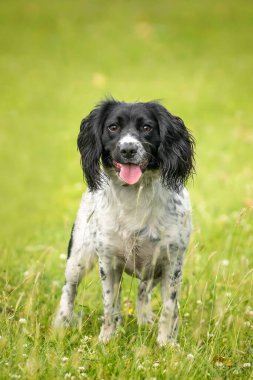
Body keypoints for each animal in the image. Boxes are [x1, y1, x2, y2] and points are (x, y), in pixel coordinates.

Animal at [53, 98, 195, 344]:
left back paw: (145, 321)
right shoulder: (108, 262)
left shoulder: (172, 262)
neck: (135, 195)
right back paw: (61, 324)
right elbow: (110, 305)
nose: (128, 149)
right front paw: (106, 339)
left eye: (147, 127)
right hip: (78, 259)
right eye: (113, 127)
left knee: (142, 292)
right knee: (69, 290)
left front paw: (166, 343)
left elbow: (169, 309)